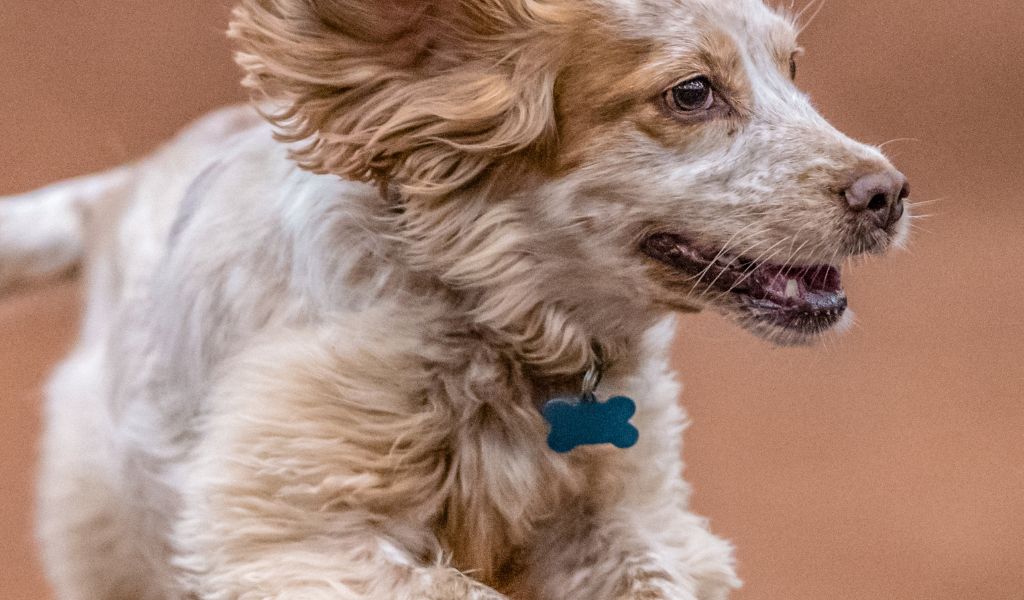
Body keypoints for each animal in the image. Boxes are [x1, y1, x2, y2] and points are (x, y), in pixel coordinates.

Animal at [2, 1, 913, 597]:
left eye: (791, 68)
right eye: (691, 92)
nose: (888, 194)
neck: (498, 326)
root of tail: (115, 192)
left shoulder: (629, 514)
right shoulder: (295, 536)